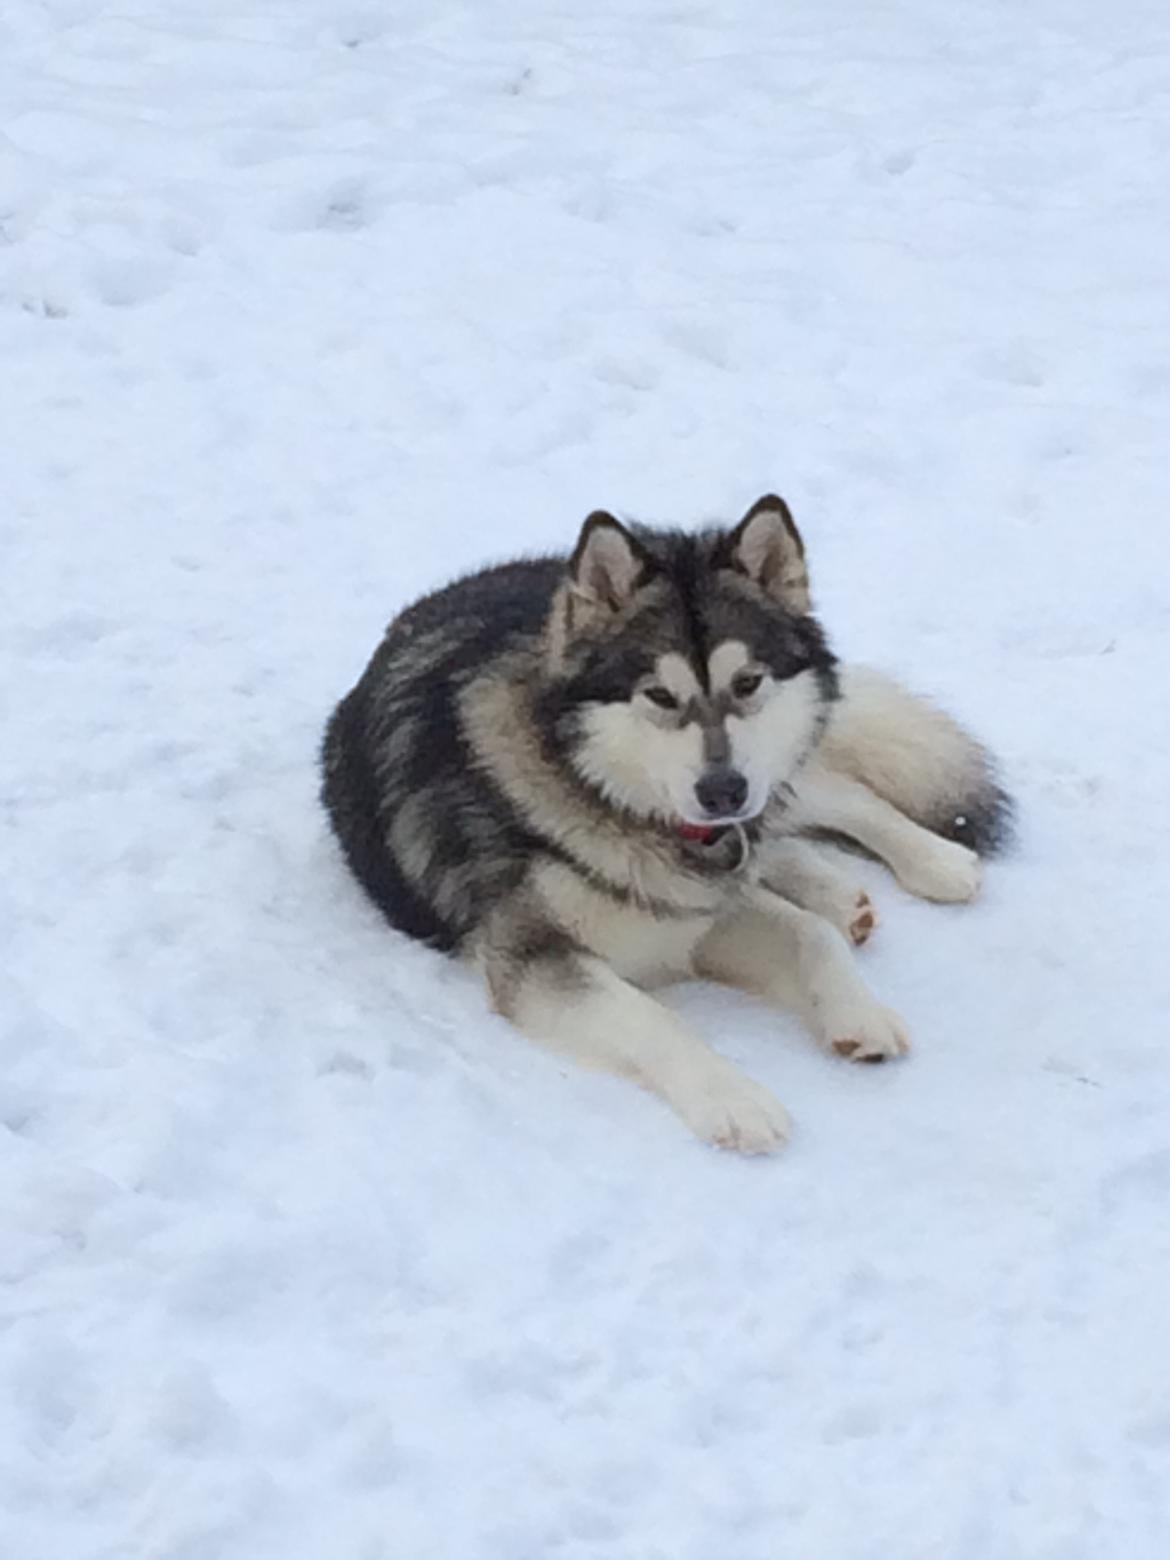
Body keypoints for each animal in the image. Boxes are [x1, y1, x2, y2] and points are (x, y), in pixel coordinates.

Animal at [322, 492, 1017, 1154]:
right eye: (659, 695)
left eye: (748, 682)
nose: (723, 791)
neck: (612, 797)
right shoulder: (536, 953)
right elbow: (653, 1018)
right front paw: (736, 1100)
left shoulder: (703, 911)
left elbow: (808, 936)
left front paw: (857, 1011)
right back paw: (836, 891)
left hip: (783, 775)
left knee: (832, 793)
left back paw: (929, 863)